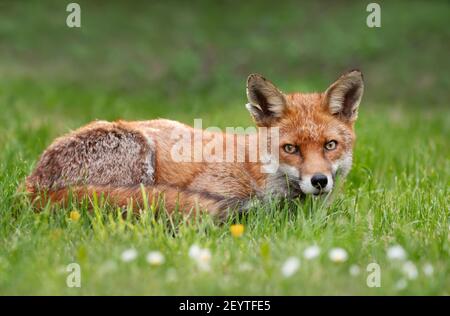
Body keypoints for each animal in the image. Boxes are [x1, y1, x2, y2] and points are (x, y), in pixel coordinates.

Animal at [24, 70, 364, 216]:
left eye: (330, 145)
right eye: (290, 149)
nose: (319, 181)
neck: (255, 169)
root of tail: (32, 186)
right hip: (139, 153)